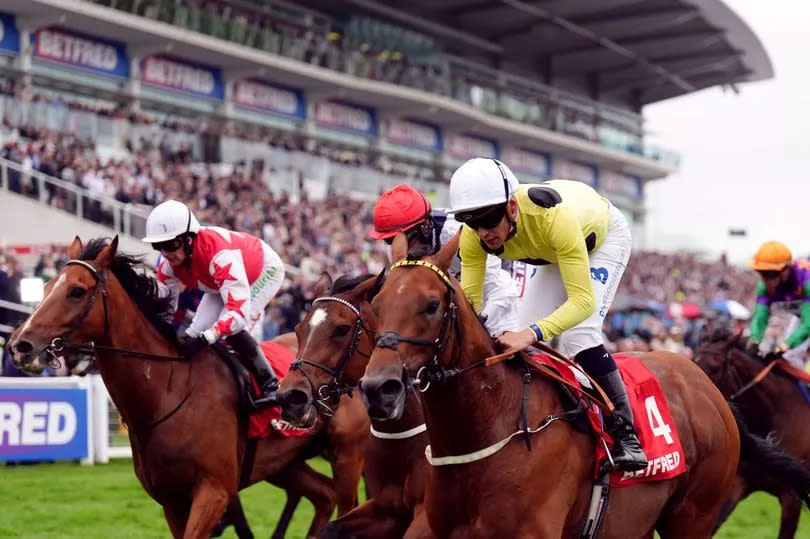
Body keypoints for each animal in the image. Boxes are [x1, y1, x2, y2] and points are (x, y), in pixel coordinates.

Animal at [7, 238, 362, 539]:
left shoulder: (214, 492)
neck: (167, 392)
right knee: (323, 496)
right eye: (46, 287)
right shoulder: (172, 501)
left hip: (346, 455)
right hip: (285, 463)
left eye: (77, 291)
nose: (19, 345)